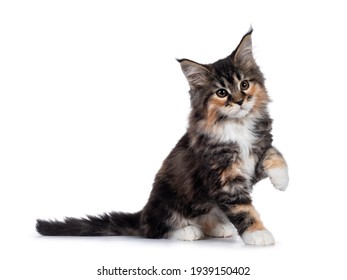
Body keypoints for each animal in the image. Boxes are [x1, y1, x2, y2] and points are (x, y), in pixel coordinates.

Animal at [36, 28, 290, 245]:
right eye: (221, 92)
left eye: (244, 84)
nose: (239, 101)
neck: (237, 125)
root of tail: (143, 215)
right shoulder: (224, 176)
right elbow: (242, 208)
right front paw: (258, 233)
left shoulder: (254, 156)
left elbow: (275, 154)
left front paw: (281, 181)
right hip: (166, 199)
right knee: (157, 230)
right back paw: (188, 230)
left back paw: (218, 228)